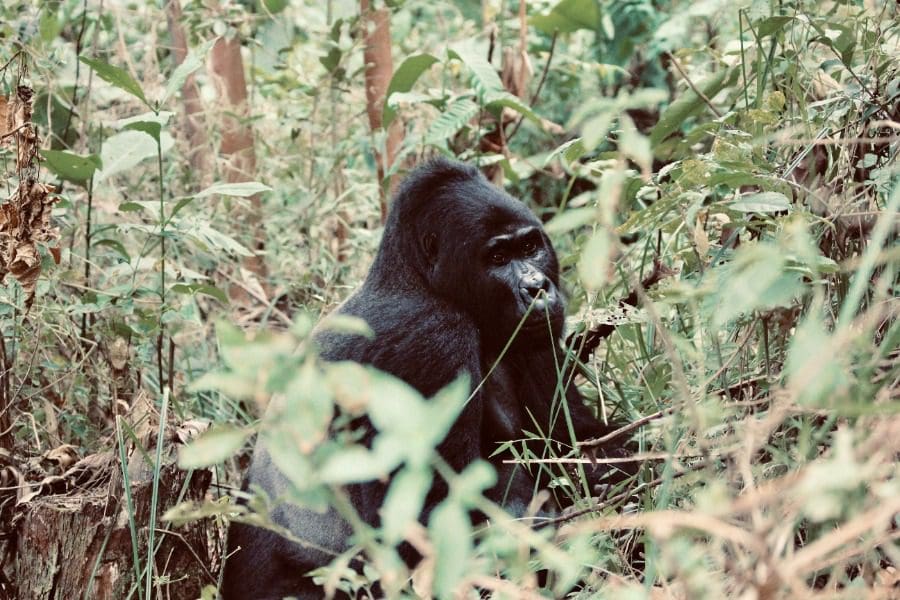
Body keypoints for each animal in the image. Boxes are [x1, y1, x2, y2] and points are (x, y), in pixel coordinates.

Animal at [221, 159, 624, 600]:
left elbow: (579, 441)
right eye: (499, 256)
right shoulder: (435, 336)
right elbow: (430, 519)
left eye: (530, 247)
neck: (418, 279)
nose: (537, 288)